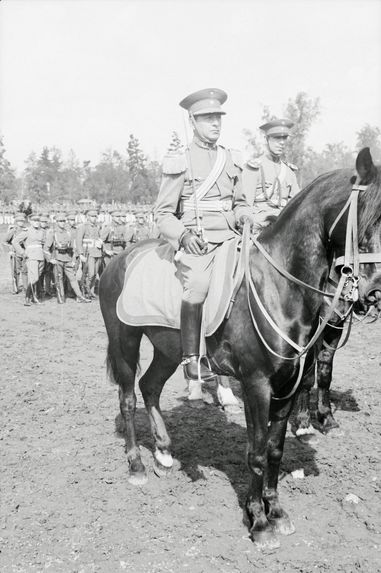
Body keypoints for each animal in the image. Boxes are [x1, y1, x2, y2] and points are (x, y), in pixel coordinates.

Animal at [98, 149, 380, 548]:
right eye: (369, 216)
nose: (373, 291)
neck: (278, 287)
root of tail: (120, 259)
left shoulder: (288, 383)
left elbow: (276, 449)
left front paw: (277, 511)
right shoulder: (256, 383)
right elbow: (257, 452)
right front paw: (258, 521)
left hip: (168, 349)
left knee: (149, 387)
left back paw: (164, 453)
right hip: (125, 341)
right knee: (127, 398)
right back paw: (137, 464)